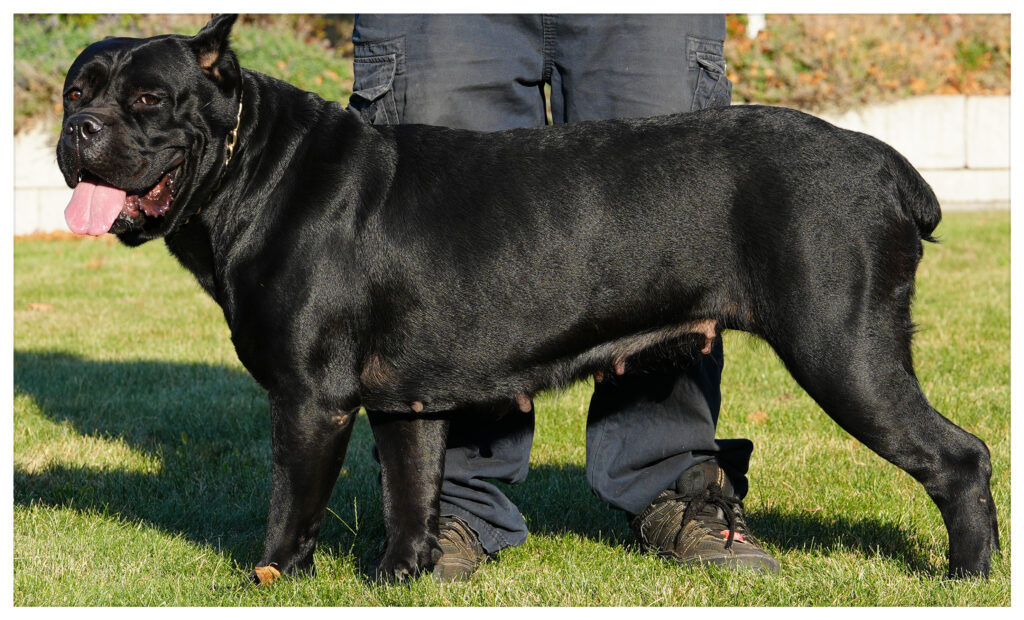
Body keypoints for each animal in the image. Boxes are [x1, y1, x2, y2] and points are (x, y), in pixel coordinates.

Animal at [58, 15, 999, 582]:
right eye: (77, 91)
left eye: (149, 99)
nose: (77, 131)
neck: (254, 167)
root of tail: (887, 164)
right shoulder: (407, 403)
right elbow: (413, 496)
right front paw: (403, 578)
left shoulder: (309, 400)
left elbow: (290, 512)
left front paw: (274, 582)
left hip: (843, 349)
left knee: (958, 457)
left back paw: (966, 575)